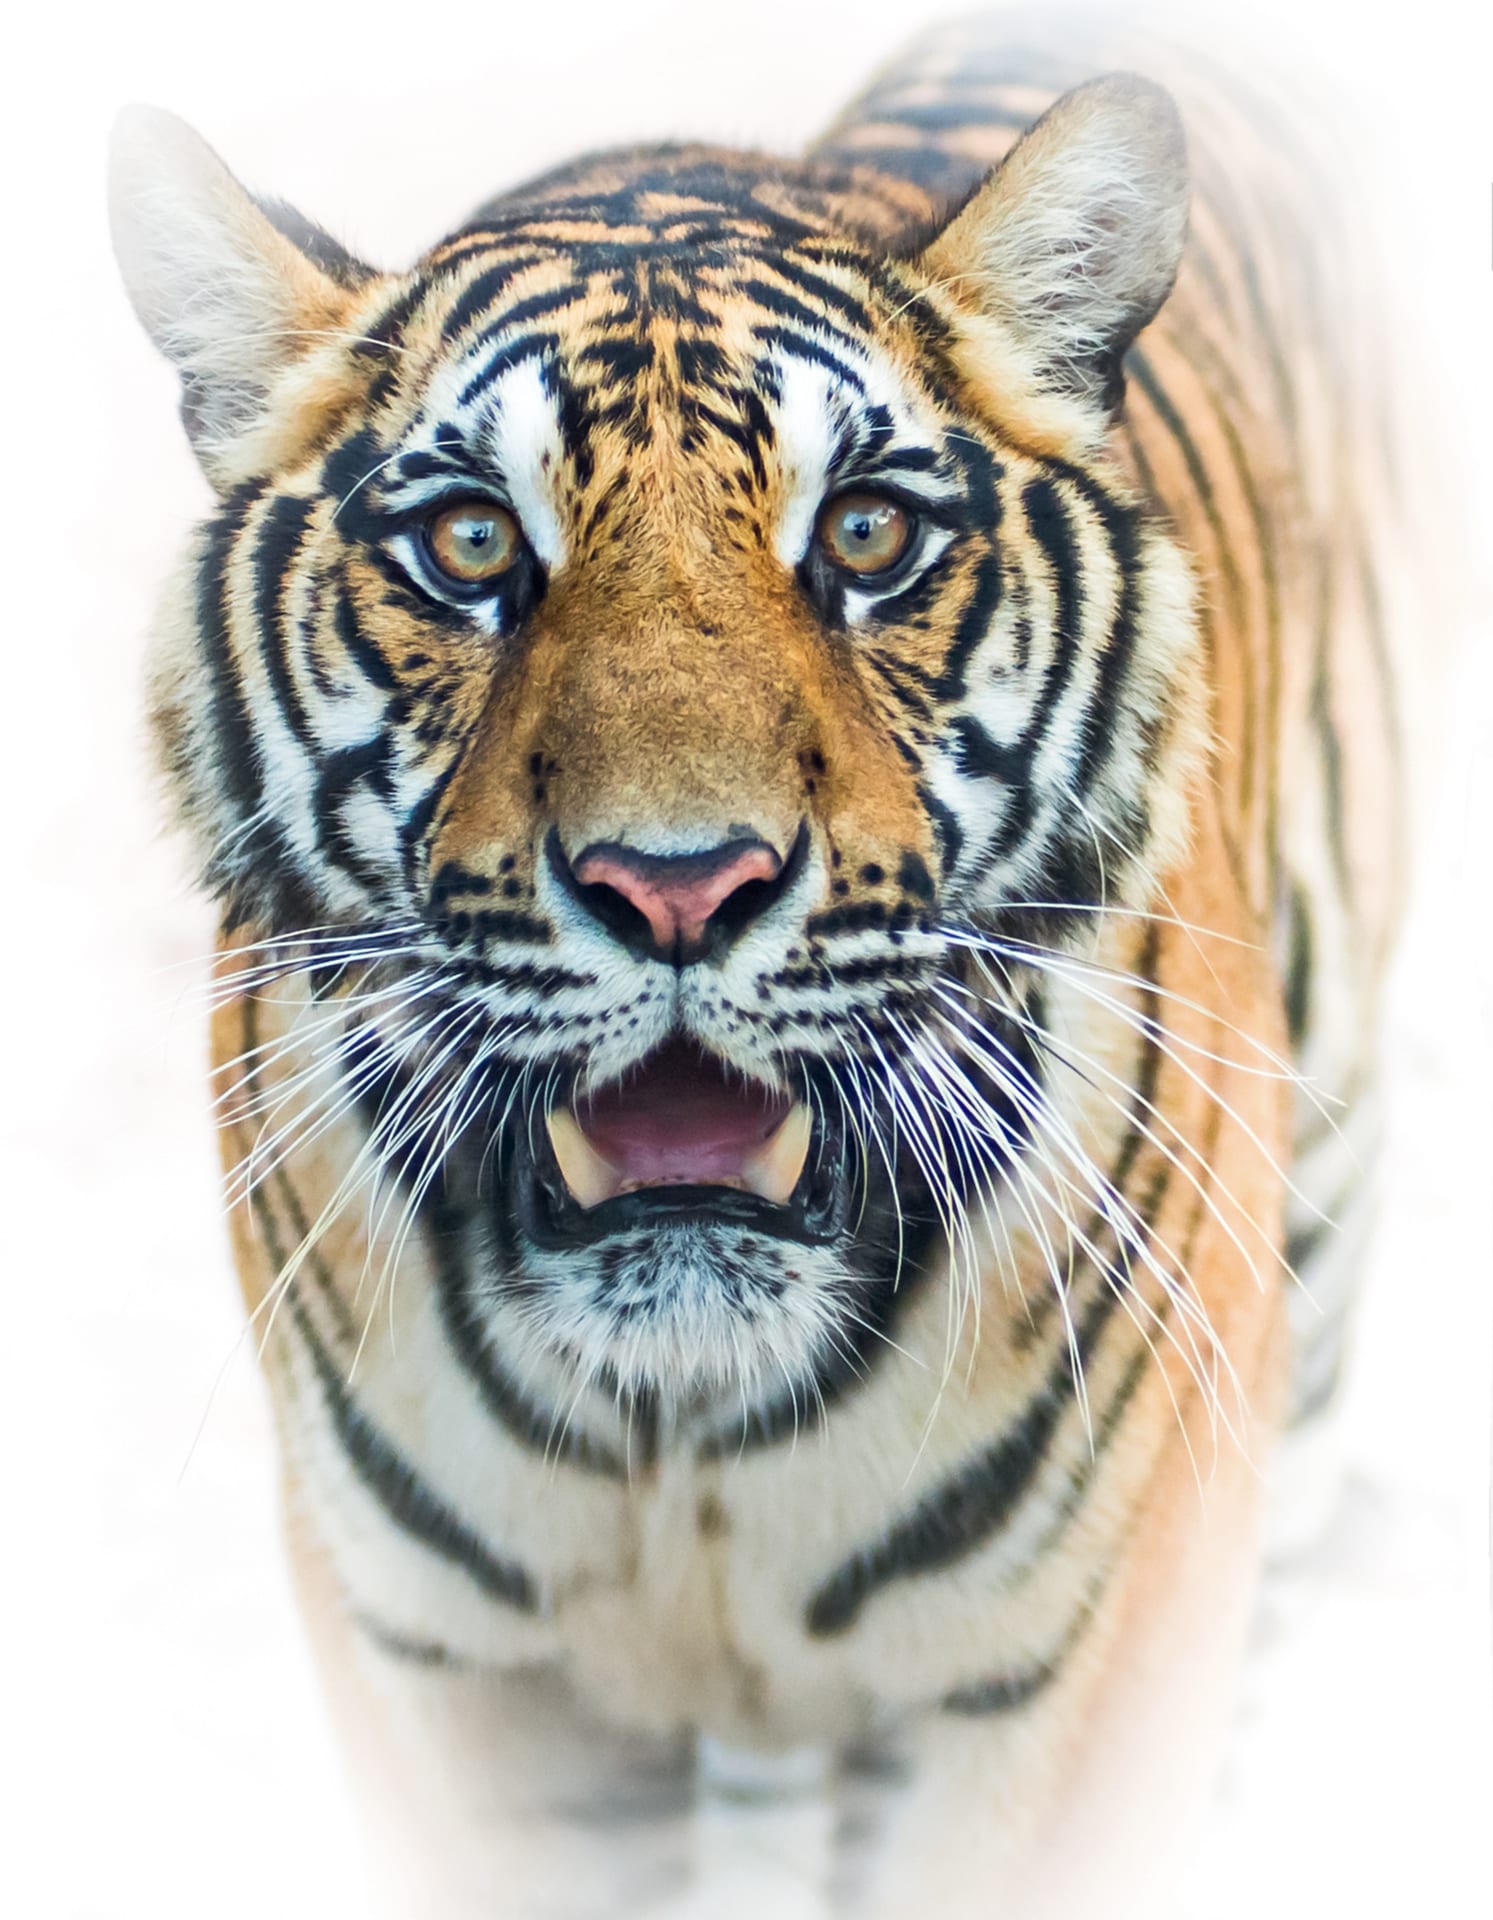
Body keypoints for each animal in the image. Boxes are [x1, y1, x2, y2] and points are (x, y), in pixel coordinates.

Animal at [109, 10, 1412, 1916]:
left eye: (865, 538)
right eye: (470, 545)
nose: (676, 885)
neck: (684, 1431)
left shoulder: (1080, 1675)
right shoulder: (444, 1679)